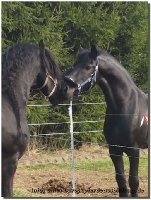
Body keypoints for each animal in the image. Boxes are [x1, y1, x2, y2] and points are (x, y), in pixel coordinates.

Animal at [64, 45, 148, 197]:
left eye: (88, 66)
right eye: (75, 64)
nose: (66, 88)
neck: (125, 107)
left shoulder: (134, 150)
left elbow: (134, 181)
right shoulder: (114, 150)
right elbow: (121, 181)